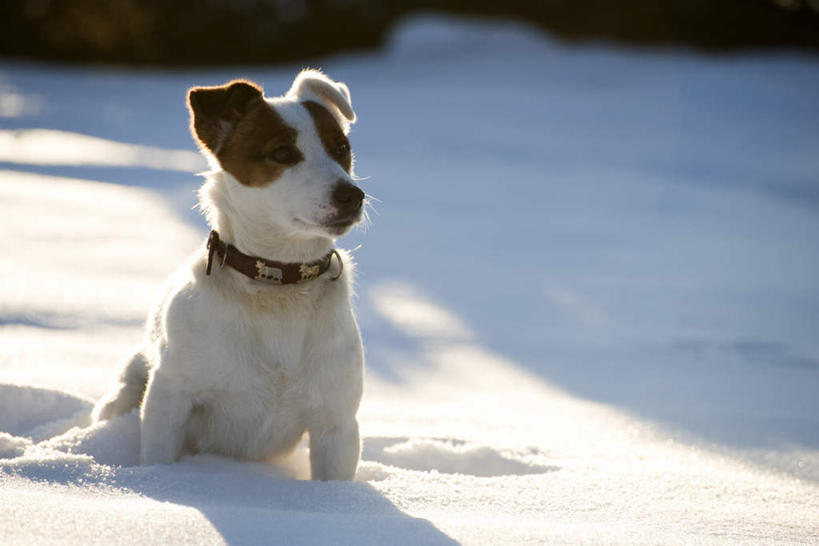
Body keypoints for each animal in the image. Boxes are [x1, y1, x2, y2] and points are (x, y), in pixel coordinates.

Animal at [91, 69, 366, 480]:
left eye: (341, 148)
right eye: (282, 153)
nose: (352, 195)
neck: (276, 283)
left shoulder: (337, 423)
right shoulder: (170, 397)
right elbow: (158, 454)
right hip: (131, 383)